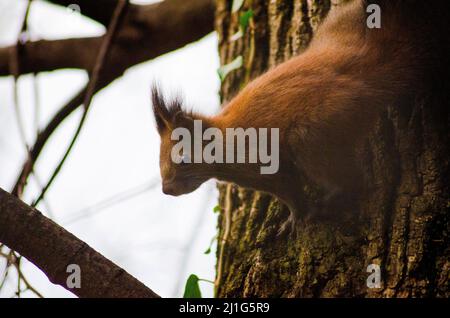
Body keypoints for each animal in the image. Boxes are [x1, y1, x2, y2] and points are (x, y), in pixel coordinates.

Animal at [152, 0, 450, 234]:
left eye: (183, 157)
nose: (167, 189)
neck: (224, 139)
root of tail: (362, 75)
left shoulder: (264, 164)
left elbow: (291, 192)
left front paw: (295, 219)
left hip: (313, 136)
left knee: (353, 181)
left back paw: (330, 201)